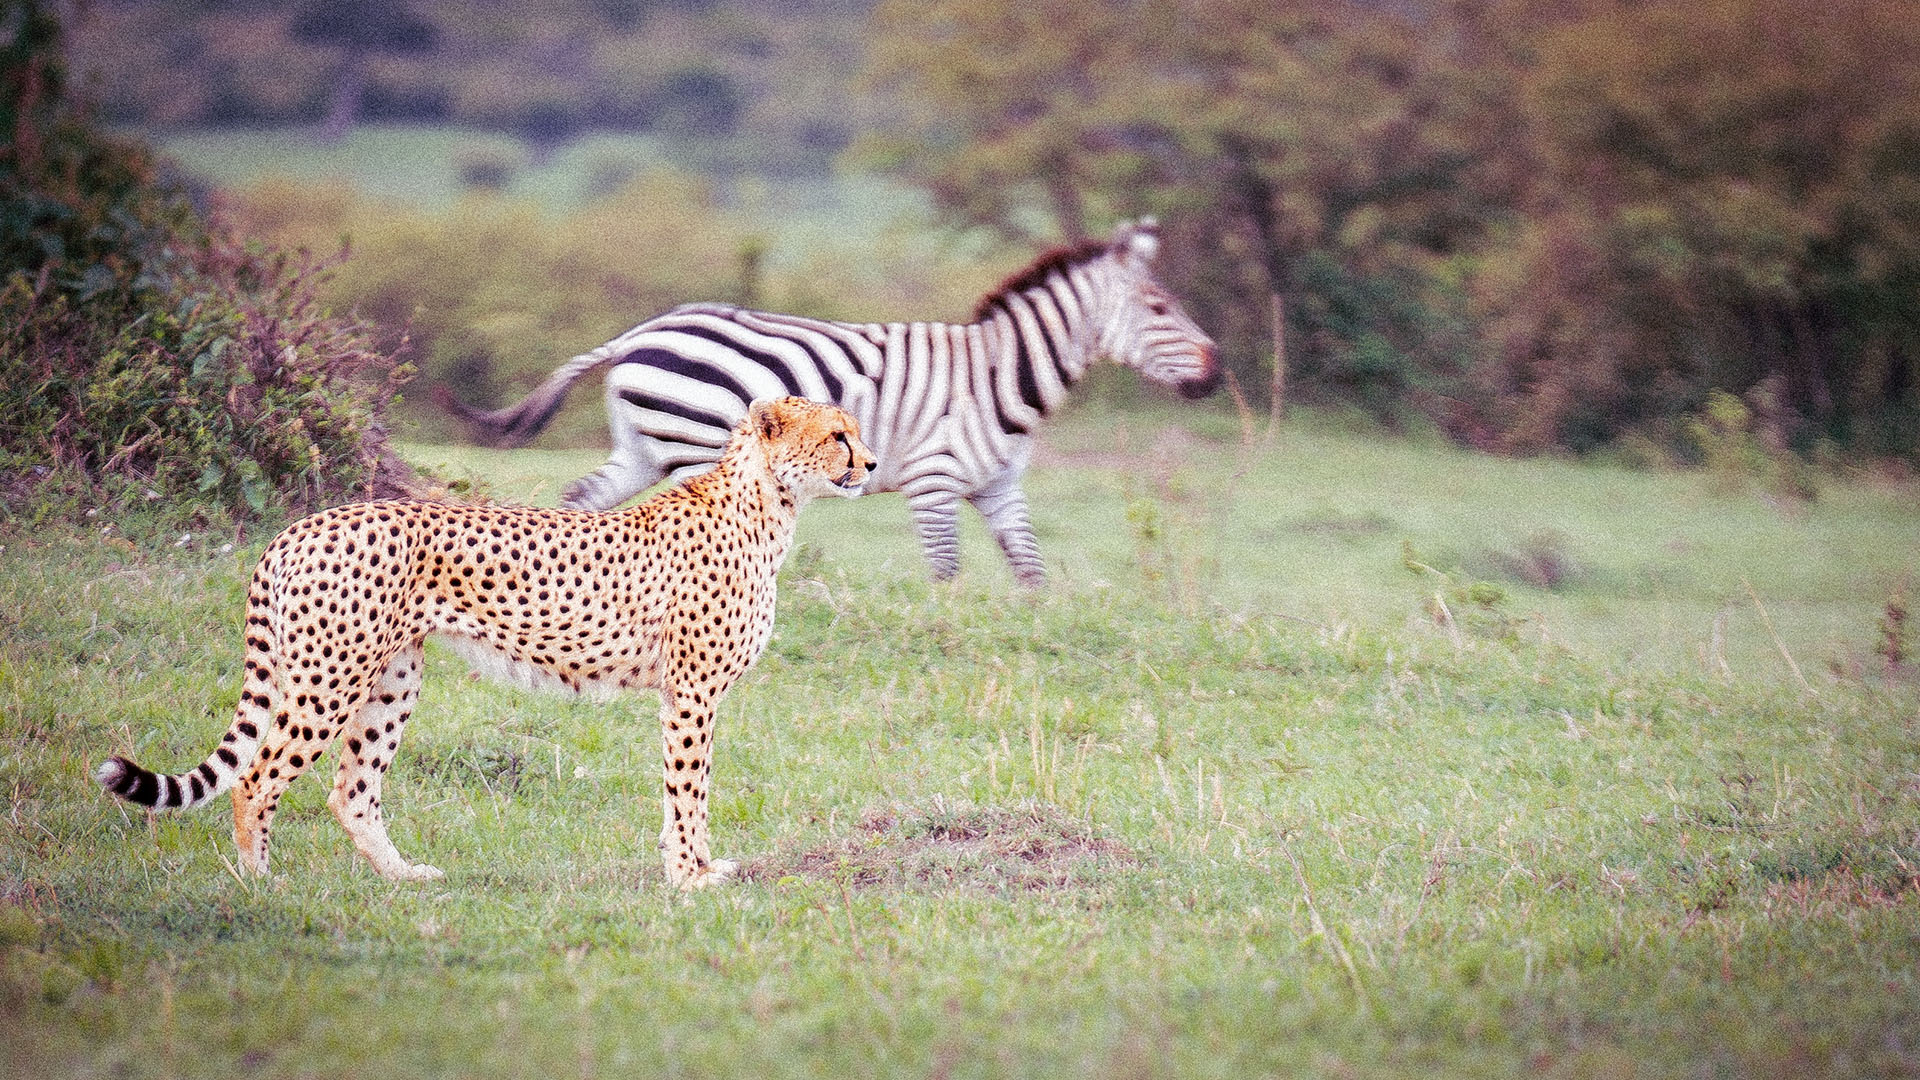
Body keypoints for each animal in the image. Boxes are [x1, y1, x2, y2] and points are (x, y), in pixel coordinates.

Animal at [95, 396, 876, 891]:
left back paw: (403, 877)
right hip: (329, 679)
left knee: (352, 790)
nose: (869, 465)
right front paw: (692, 877)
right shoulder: (691, 690)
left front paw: (687, 868)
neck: (766, 502)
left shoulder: (685, 693)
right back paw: (261, 881)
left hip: (391, 679)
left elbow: (682, 791)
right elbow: (689, 789)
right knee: (257, 779)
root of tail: (306, 522)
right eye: (837, 435)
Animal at [439, 218, 1219, 587]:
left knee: (579, 503)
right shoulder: (935, 480)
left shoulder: (999, 487)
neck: (1001, 375)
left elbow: (1032, 574)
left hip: (643, 447)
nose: (1214, 373)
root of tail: (638, 332)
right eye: (1159, 307)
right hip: (699, 450)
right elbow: (946, 576)